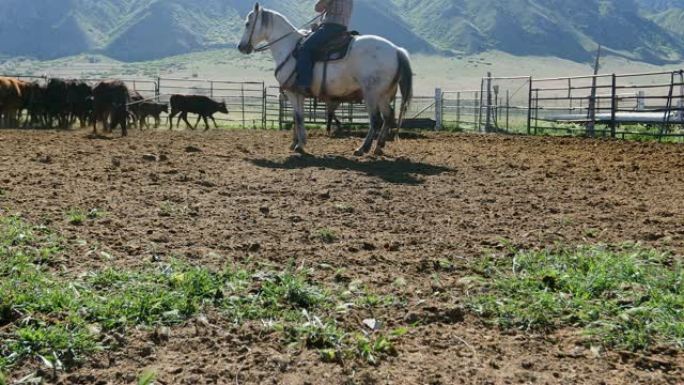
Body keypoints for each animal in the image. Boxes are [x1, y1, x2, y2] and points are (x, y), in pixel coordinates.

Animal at [239, 2, 412, 156]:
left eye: (247, 23)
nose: (241, 47)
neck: (288, 47)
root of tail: (396, 50)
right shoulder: (298, 94)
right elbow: (296, 117)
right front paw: (295, 143)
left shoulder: (293, 92)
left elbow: (299, 117)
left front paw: (301, 145)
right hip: (384, 94)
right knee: (388, 117)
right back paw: (379, 147)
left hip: (371, 94)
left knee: (376, 120)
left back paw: (363, 148)